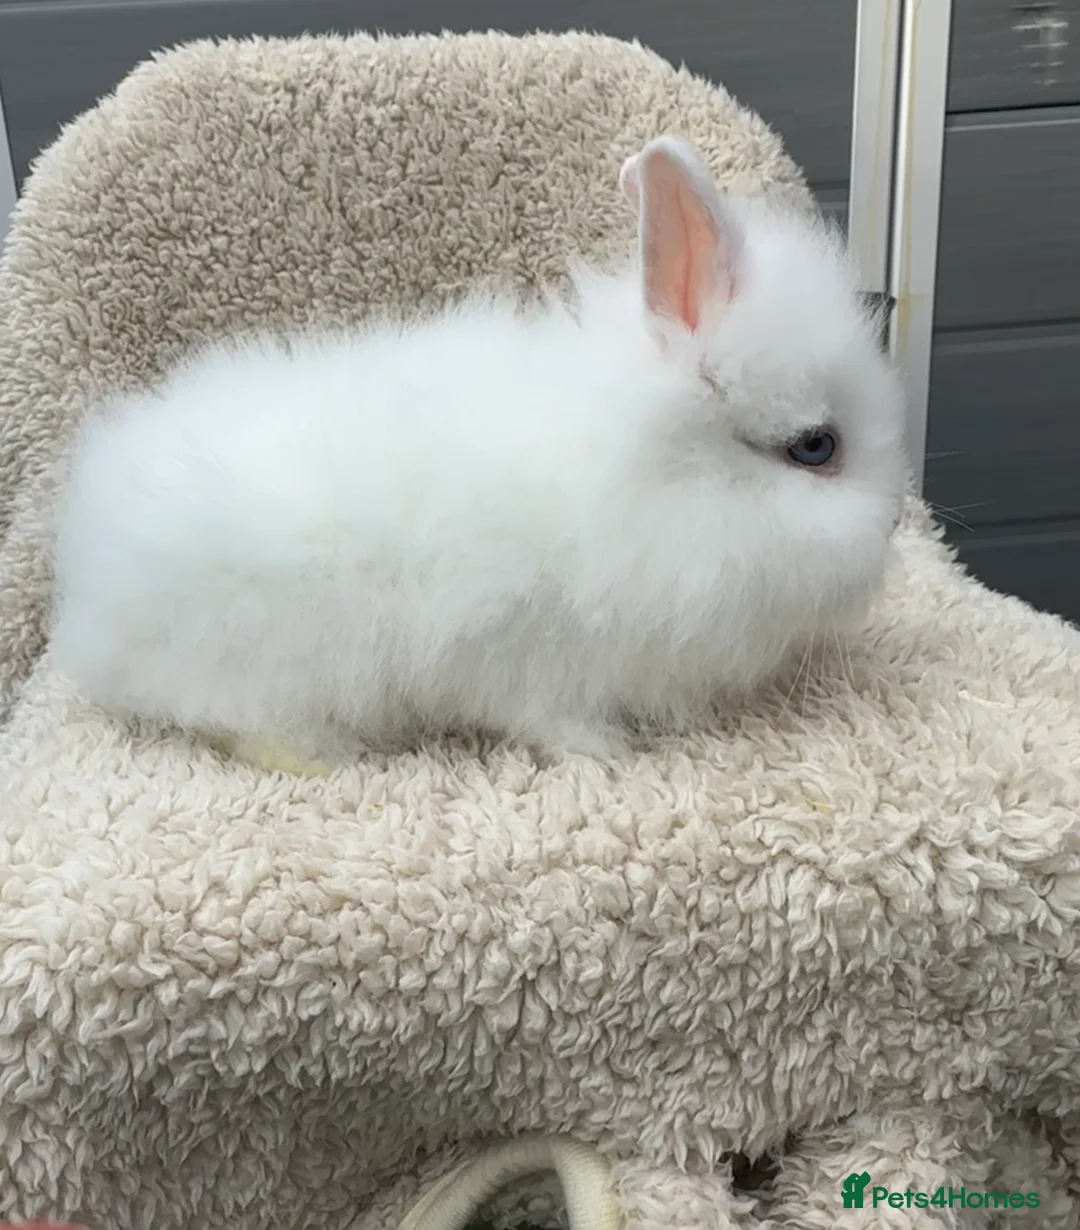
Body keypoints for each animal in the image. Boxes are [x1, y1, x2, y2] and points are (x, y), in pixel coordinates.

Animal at [49, 135, 907, 774]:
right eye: (815, 447)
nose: (898, 522)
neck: (651, 476)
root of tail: (90, 585)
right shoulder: (534, 651)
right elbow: (551, 717)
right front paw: (604, 750)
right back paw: (321, 758)